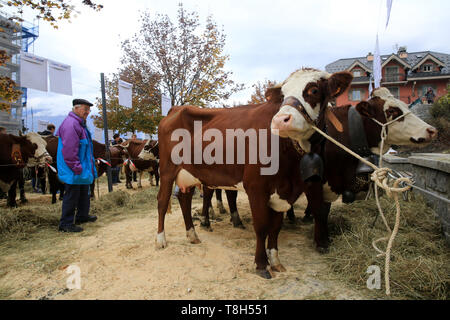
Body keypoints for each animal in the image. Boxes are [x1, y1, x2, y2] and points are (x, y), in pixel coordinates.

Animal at [156, 69, 354, 278]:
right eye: (282, 95)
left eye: (314, 90)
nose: (280, 120)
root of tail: (176, 108)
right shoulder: (256, 187)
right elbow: (261, 227)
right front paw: (261, 264)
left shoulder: (283, 191)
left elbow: (275, 228)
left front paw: (275, 261)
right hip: (167, 170)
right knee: (162, 201)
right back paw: (161, 240)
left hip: (189, 173)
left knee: (184, 198)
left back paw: (192, 235)